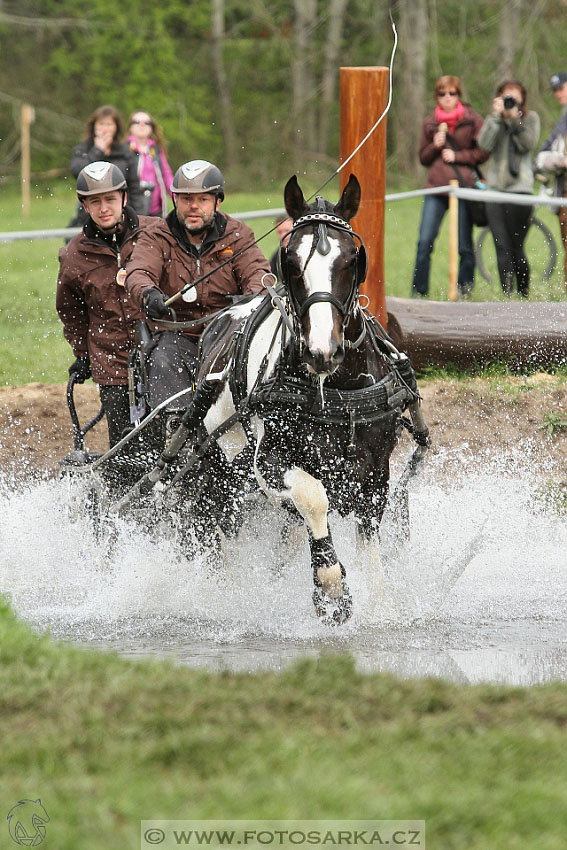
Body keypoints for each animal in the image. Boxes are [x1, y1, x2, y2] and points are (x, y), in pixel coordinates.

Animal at [102, 172, 430, 624]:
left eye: (352, 259)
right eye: (288, 261)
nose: (322, 351)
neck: (334, 388)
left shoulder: (375, 467)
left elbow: (369, 538)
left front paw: (377, 603)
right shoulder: (270, 461)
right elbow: (313, 499)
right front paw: (331, 590)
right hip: (215, 471)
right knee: (209, 525)